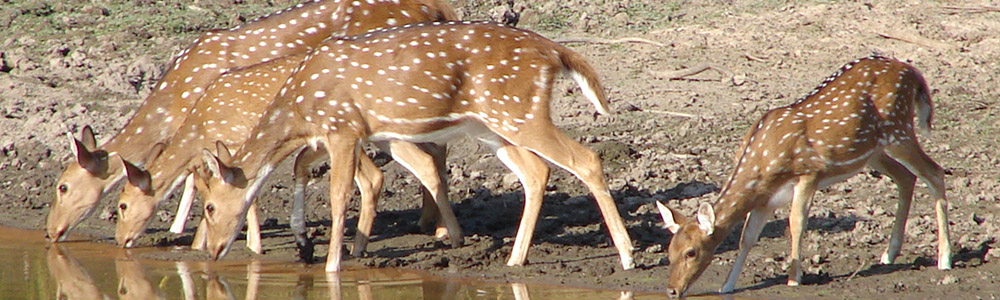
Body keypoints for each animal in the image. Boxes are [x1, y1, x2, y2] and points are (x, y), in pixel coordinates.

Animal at [45, 0, 456, 241]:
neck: (176, 97)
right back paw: (428, 223)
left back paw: (436, 228)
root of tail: (438, 9)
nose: (50, 231)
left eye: (62, 186)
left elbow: (199, 172)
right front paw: (183, 228)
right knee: (435, 148)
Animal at [199, 19, 636, 270]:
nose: (212, 251)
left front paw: (333, 265)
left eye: (209, 206)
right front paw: (305, 245)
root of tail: (555, 50)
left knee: (586, 158)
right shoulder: (339, 131)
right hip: (492, 125)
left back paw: (628, 256)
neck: (298, 107)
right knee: (536, 170)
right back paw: (515, 259)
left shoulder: (342, 126)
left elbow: (339, 193)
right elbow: (300, 165)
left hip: (517, 111)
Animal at [656, 55, 952, 296]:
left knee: (935, 172)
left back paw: (944, 259)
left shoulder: (809, 172)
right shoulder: (765, 199)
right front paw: (727, 285)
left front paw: (793, 278)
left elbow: (796, 222)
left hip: (898, 130)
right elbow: (747, 237)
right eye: (669, 250)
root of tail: (914, 72)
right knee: (906, 177)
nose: (671, 290)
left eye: (691, 252)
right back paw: (889, 255)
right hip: (873, 152)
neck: (763, 162)